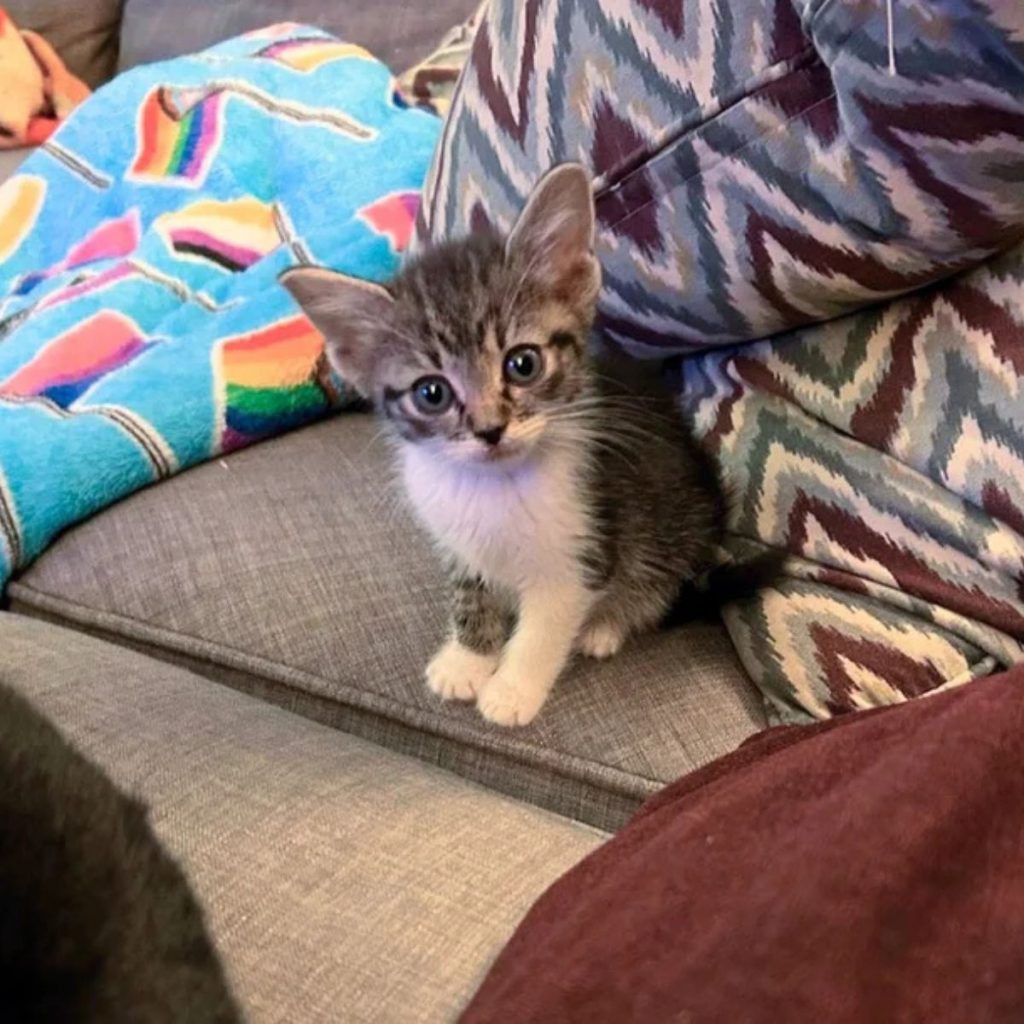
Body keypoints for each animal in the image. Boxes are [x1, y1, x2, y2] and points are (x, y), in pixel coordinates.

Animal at [282, 163, 753, 729]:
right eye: (432, 393)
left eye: (522, 363)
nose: (490, 429)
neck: (496, 485)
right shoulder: (457, 540)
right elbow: (470, 593)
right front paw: (468, 658)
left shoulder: (583, 544)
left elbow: (546, 627)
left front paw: (512, 689)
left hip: (680, 521)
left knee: (659, 579)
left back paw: (607, 627)